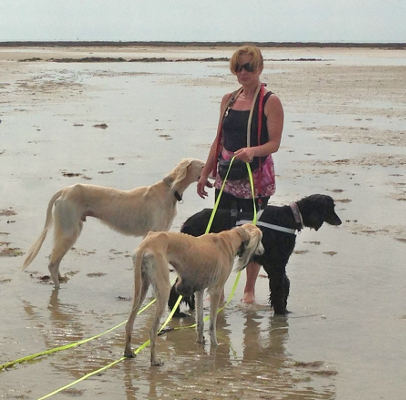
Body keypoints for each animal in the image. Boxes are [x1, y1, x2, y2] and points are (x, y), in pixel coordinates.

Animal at [22, 158, 205, 288]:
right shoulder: (155, 234)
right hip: (69, 230)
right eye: (203, 166)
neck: (168, 190)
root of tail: (65, 190)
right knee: (52, 263)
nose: (210, 172)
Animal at [124, 223, 263, 366]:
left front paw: (200, 341)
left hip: (142, 286)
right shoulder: (216, 290)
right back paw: (154, 360)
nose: (262, 252)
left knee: (129, 322)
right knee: (152, 330)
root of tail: (146, 244)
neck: (231, 238)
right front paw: (215, 345)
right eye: (261, 239)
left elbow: (200, 321)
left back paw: (128, 352)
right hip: (163, 288)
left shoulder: (199, 290)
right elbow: (212, 324)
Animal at [168, 194, 342, 316]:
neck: (290, 217)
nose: (339, 221)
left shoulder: (275, 265)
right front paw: (281, 312)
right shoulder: (276, 264)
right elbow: (280, 287)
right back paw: (176, 313)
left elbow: (284, 284)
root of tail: (186, 224)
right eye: (331, 207)